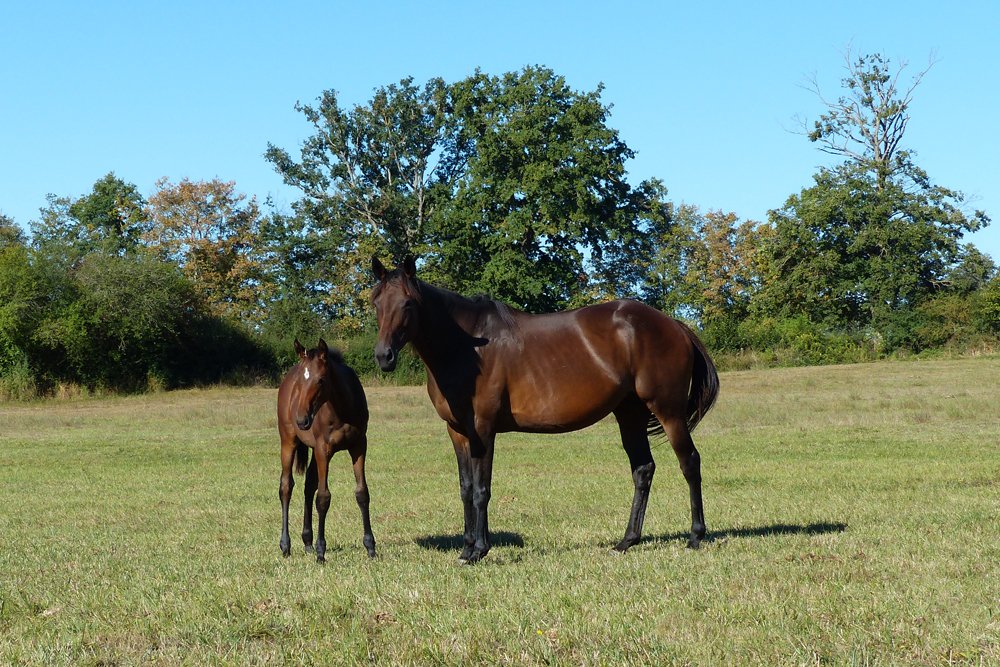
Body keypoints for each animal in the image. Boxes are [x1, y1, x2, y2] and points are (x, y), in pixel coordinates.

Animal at [276, 338, 376, 562]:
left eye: (321, 380)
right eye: (299, 383)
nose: (302, 420)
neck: (343, 408)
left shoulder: (359, 446)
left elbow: (362, 493)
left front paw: (370, 547)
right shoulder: (324, 449)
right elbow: (323, 497)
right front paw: (321, 551)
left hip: (314, 450)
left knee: (308, 485)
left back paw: (307, 542)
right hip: (288, 441)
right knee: (286, 486)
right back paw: (286, 545)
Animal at [371, 256, 719, 564]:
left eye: (408, 304)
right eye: (376, 303)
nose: (383, 356)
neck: (466, 348)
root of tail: (674, 325)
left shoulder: (483, 429)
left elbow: (482, 489)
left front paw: (480, 550)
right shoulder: (457, 431)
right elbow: (466, 489)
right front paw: (466, 548)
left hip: (668, 412)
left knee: (689, 463)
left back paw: (695, 536)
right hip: (629, 414)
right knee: (643, 469)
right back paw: (626, 541)